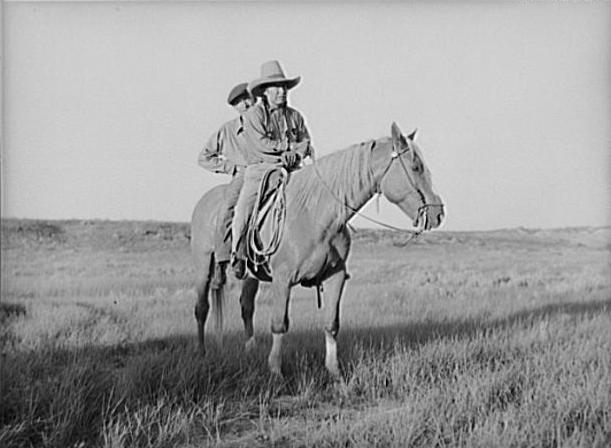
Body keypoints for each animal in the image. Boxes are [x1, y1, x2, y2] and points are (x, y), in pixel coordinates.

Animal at [191, 121, 444, 374]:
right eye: (416, 166)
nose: (438, 213)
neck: (316, 215)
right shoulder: (283, 279)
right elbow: (279, 324)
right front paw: (275, 370)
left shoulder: (336, 276)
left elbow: (331, 323)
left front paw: (334, 371)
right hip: (203, 264)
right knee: (202, 308)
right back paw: (201, 352)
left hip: (250, 275)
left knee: (246, 306)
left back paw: (250, 348)